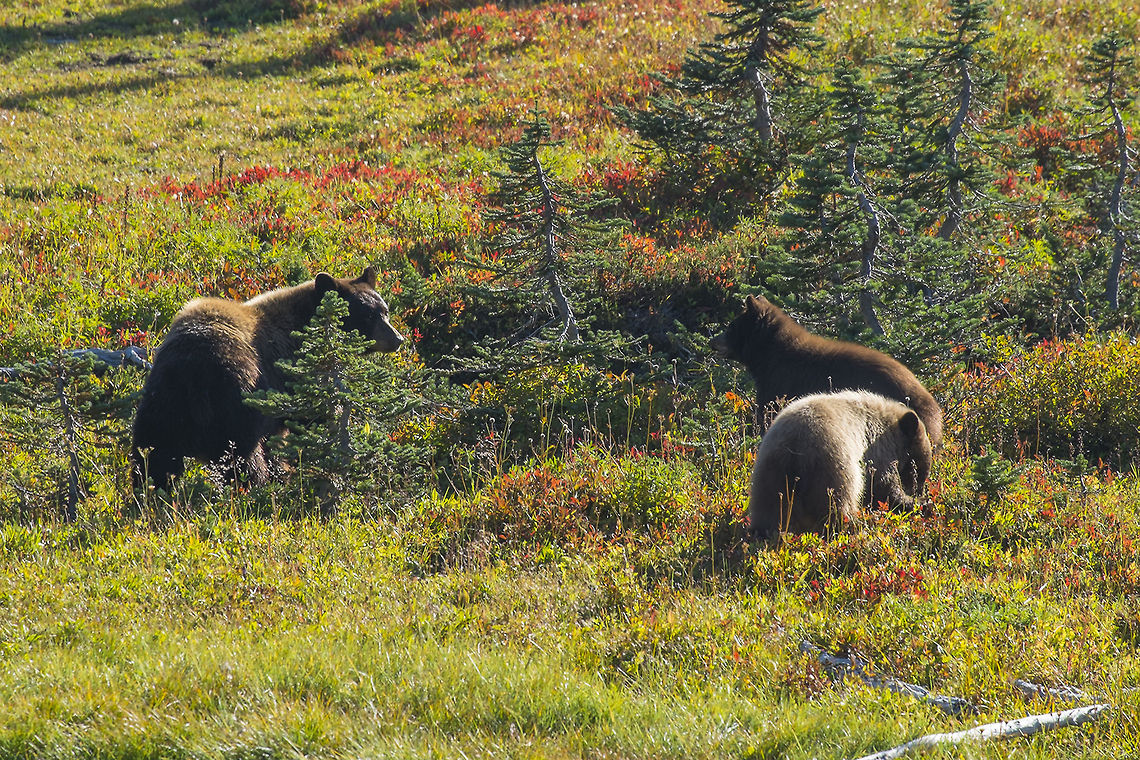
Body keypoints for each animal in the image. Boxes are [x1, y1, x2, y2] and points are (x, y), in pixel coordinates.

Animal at [130, 267, 403, 490]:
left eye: (385, 311)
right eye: (367, 315)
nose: (397, 339)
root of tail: (195, 372)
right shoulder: (295, 376)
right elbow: (314, 416)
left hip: (162, 404)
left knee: (153, 454)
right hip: (238, 401)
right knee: (242, 457)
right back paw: (254, 489)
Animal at [710, 294, 943, 448]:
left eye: (731, 326)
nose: (713, 341)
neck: (768, 356)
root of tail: (929, 402)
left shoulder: (779, 383)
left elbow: (768, 416)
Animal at [747, 390, 932, 540]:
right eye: (919, 470)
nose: (919, 490)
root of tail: (794, 447)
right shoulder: (878, 451)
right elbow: (883, 487)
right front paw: (917, 502)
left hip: (770, 472)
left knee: (769, 508)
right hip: (834, 465)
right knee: (839, 501)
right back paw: (852, 525)